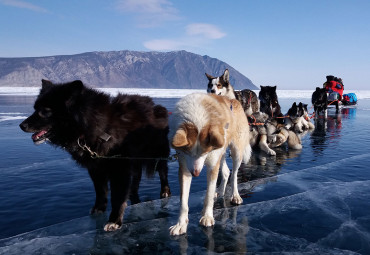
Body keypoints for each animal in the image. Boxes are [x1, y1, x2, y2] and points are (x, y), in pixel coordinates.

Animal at [19, 79, 171, 231]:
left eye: (45, 111)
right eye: (35, 108)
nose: (22, 125)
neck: (96, 126)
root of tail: (157, 107)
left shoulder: (119, 168)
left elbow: (117, 196)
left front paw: (114, 220)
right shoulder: (96, 168)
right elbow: (100, 191)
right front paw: (99, 209)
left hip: (158, 154)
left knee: (163, 172)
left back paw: (165, 191)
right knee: (136, 178)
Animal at [168, 92, 251, 236]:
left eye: (204, 153)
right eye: (188, 152)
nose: (195, 173)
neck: (198, 119)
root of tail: (233, 100)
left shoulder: (212, 165)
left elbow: (209, 194)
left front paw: (207, 216)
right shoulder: (184, 167)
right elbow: (183, 202)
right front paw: (181, 224)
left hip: (236, 151)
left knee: (234, 174)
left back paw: (235, 195)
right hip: (221, 153)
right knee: (226, 172)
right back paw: (220, 191)